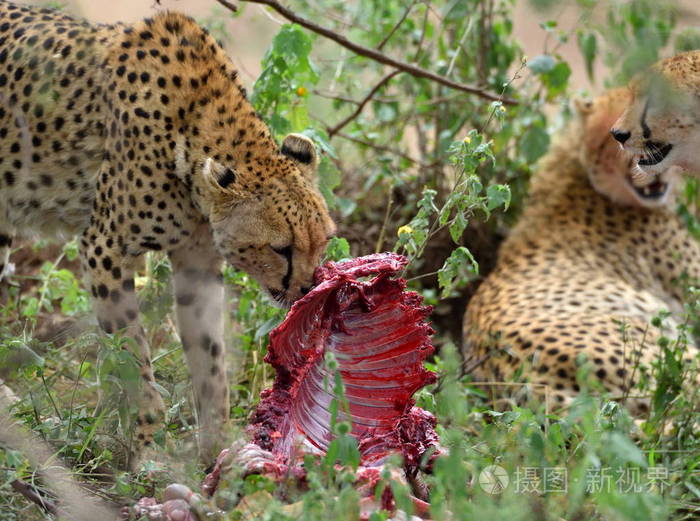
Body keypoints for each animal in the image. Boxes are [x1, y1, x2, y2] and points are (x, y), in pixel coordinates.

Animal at [0, 0, 336, 464]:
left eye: (323, 241)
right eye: (281, 248)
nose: (306, 290)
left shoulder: (198, 260)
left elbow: (209, 357)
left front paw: (218, 446)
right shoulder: (104, 247)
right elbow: (132, 355)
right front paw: (147, 447)